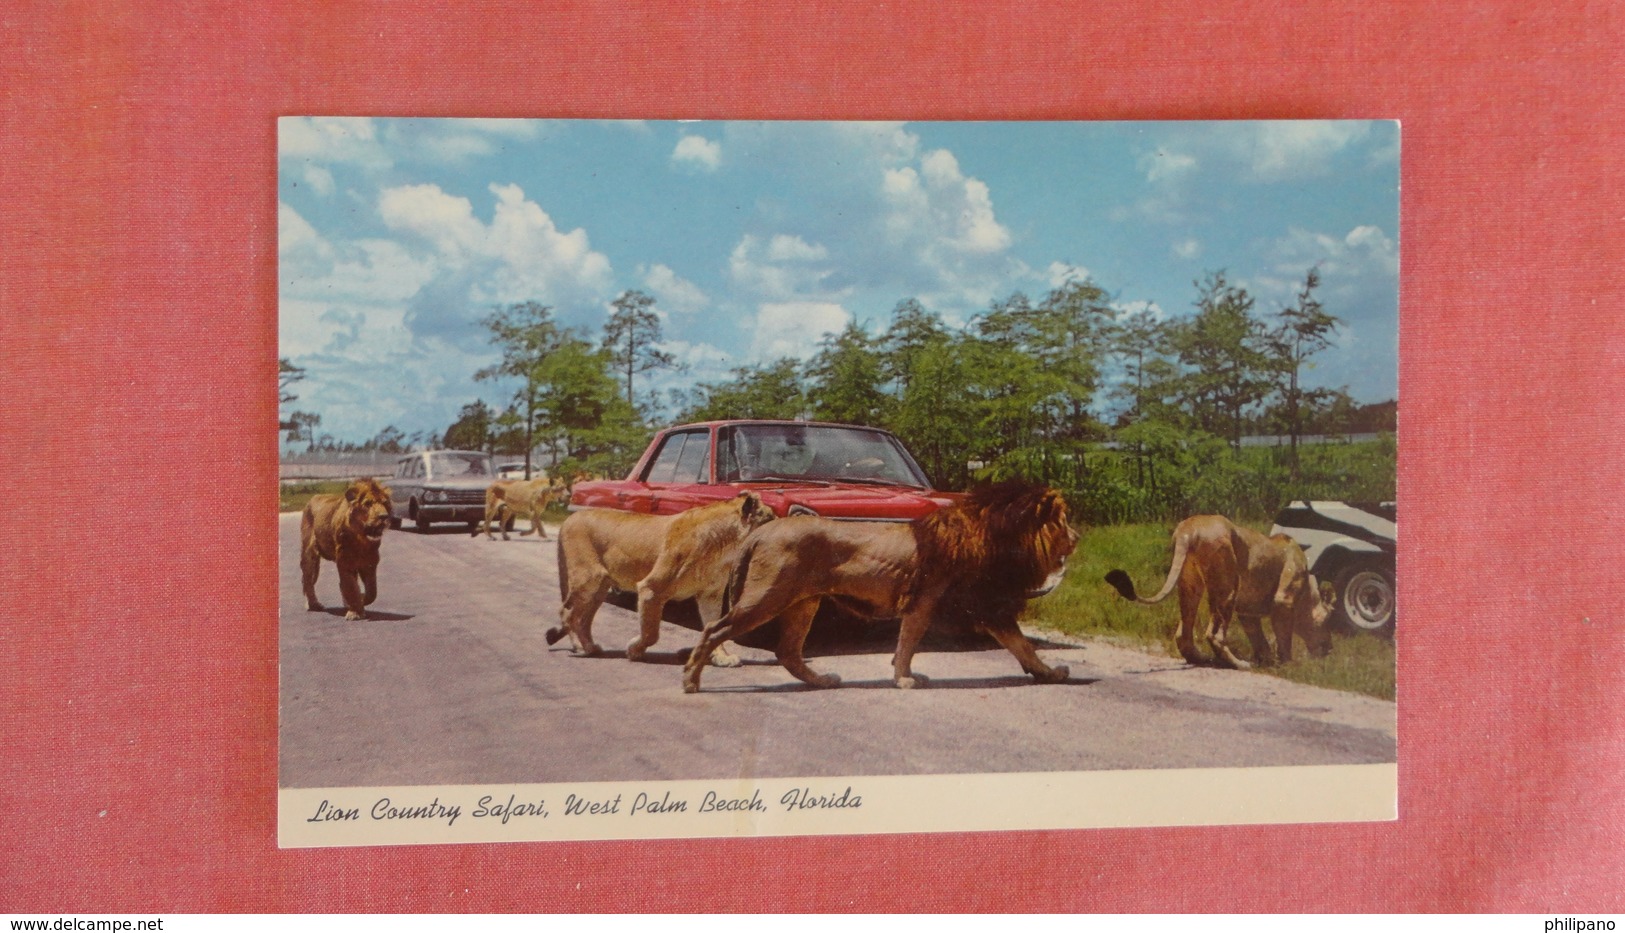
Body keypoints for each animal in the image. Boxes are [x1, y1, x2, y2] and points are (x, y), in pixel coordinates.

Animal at [299, 477, 390, 624]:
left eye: (385, 503)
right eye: (368, 503)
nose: (383, 516)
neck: (361, 539)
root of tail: (313, 498)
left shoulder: (370, 563)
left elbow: (372, 591)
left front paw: (360, 600)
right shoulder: (344, 562)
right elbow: (351, 587)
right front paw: (355, 611)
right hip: (309, 554)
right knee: (307, 580)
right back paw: (314, 605)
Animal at [542, 494, 776, 669]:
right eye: (771, 517)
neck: (726, 545)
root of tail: (569, 519)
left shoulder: (710, 595)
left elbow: (713, 628)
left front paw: (722, 657)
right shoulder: (651, 588)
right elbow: (651, 632)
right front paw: (634, 650)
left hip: (599, 587)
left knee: (583, 618)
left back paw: (590, 647)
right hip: (589, 580)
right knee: (567, 612)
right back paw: (580, 648)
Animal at [685, 481, 1079, 695]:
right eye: (1061, 522)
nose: (1077, 537)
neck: (988, 537)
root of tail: (763, 531)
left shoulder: (987, 606)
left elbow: (1023, 646)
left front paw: (1049, 674)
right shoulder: (926, 600)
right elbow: (908, 642)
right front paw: (903, 679)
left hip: (803, 603)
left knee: (788, 653)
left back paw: (822, 681)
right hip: (766, 598)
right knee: (714, 630)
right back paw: (690, 680)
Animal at [1105, 516, 1332, 669]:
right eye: (1329, 625)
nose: (1330, 650)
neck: (1309, 594)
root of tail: (1189, 528)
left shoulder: (1248, 612)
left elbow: (1258, 638)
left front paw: (1266, 660)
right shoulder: (1283, 600)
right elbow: (1284, 637)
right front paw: (1286, 664)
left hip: (1190, 583)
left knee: (1183, 632)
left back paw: (1202, 659)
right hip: (1228, 586)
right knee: (1214, 634)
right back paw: (1240, 664)